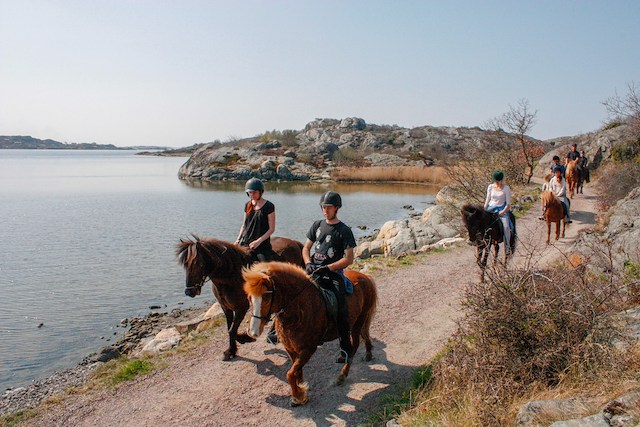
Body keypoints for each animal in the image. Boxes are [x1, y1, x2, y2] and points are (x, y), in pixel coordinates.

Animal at [176, 237, 304, 362]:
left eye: (199, 264)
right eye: (185, 265)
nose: (189, 292)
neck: (231, 276)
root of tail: (294, 243)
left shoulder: (241, 307)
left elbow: (233, 330)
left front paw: (244, 339)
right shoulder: (226, 308)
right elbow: (229, 329)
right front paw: (231, 351)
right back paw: (272, 334)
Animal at [242, 262, 378, 406]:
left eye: (267, 299)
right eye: (249, 298)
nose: (253, 332)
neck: (299, 310)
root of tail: (365, 277)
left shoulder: (308, 349)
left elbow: (290, 374)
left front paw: (298, 396)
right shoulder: (290, 349)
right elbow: (296, 372)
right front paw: (302, 390)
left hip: (359, 320)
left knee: (355, 344)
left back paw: (343, 374)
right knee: (364, 335)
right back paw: (368, 354)